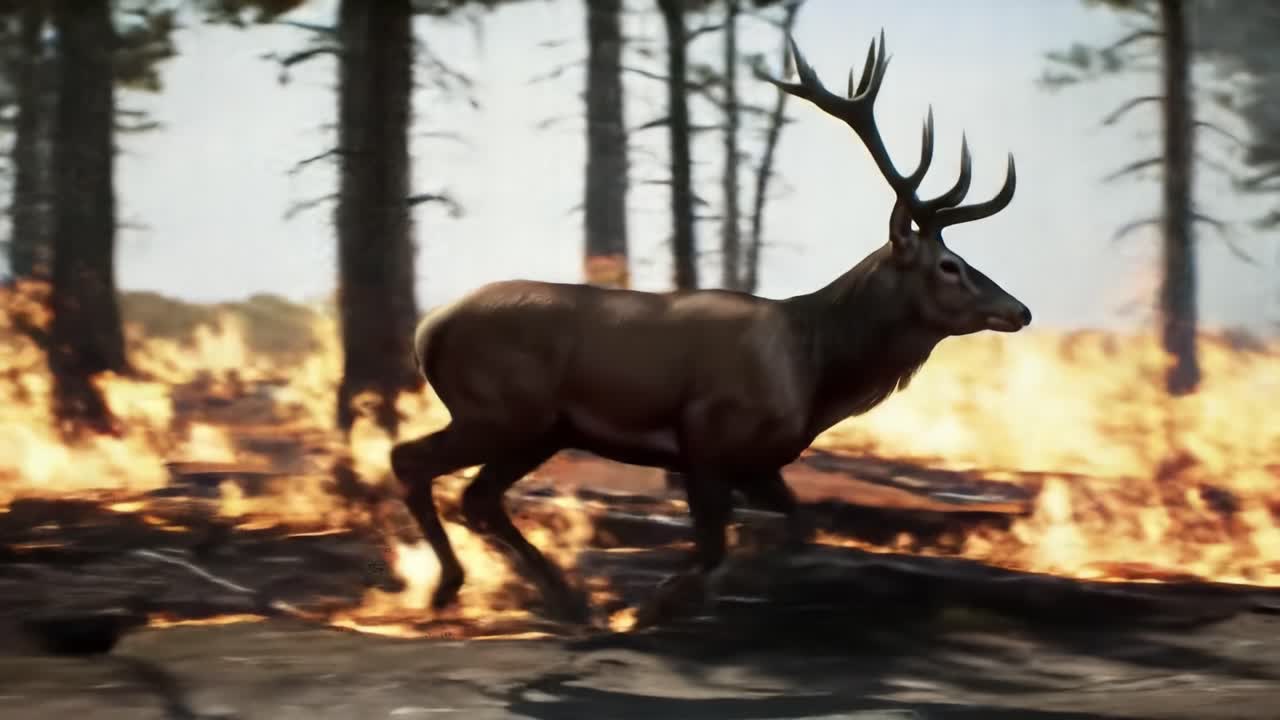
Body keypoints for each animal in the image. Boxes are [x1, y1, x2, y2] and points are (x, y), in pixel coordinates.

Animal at [388, 30, 1030, 628]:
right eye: (948, 265)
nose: (1021, 310)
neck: (815, 371)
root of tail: (426, 332)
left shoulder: (759, 462)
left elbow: (799, 526)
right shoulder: (705, 436)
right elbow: (715, 547)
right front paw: (658, 604)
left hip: (538, 429)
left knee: (477, 496)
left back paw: (561, 599)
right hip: (500, 411)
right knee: (412, 460)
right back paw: (457, 588)